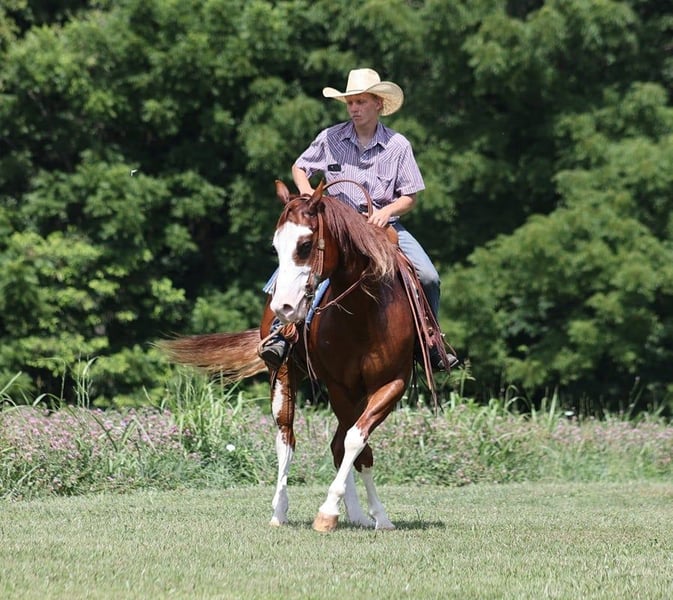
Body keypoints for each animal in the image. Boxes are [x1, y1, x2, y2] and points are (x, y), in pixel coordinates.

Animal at [161, 180, 452, 532]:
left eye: (306, 243)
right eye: (276, 246)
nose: (283, 307)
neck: (365, 312)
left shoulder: (390, 384)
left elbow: (355, 441)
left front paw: (373, 515)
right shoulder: (339, 386)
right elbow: (354, 444)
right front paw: (330, 511)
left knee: (338, 442)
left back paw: (355, 513)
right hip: (284, 375)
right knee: (286, 438)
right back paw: (280, 510)